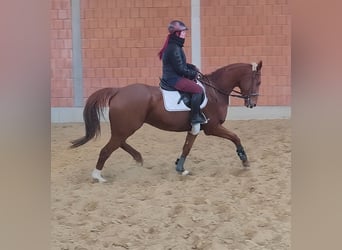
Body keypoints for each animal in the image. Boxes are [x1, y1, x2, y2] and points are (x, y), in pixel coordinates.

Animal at [69, 60, 262, 182]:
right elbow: (235, 137)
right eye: (258, 82)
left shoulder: (196, 127)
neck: (215, 91)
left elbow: (187, 146)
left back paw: (138, 159)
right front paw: (244, 160)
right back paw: (98, 176)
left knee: (118, 143)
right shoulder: (212, 127)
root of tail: (118, 91)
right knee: (107, 149)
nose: (252, 104)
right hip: (127, 127)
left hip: (124, 128)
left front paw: (180, 168)